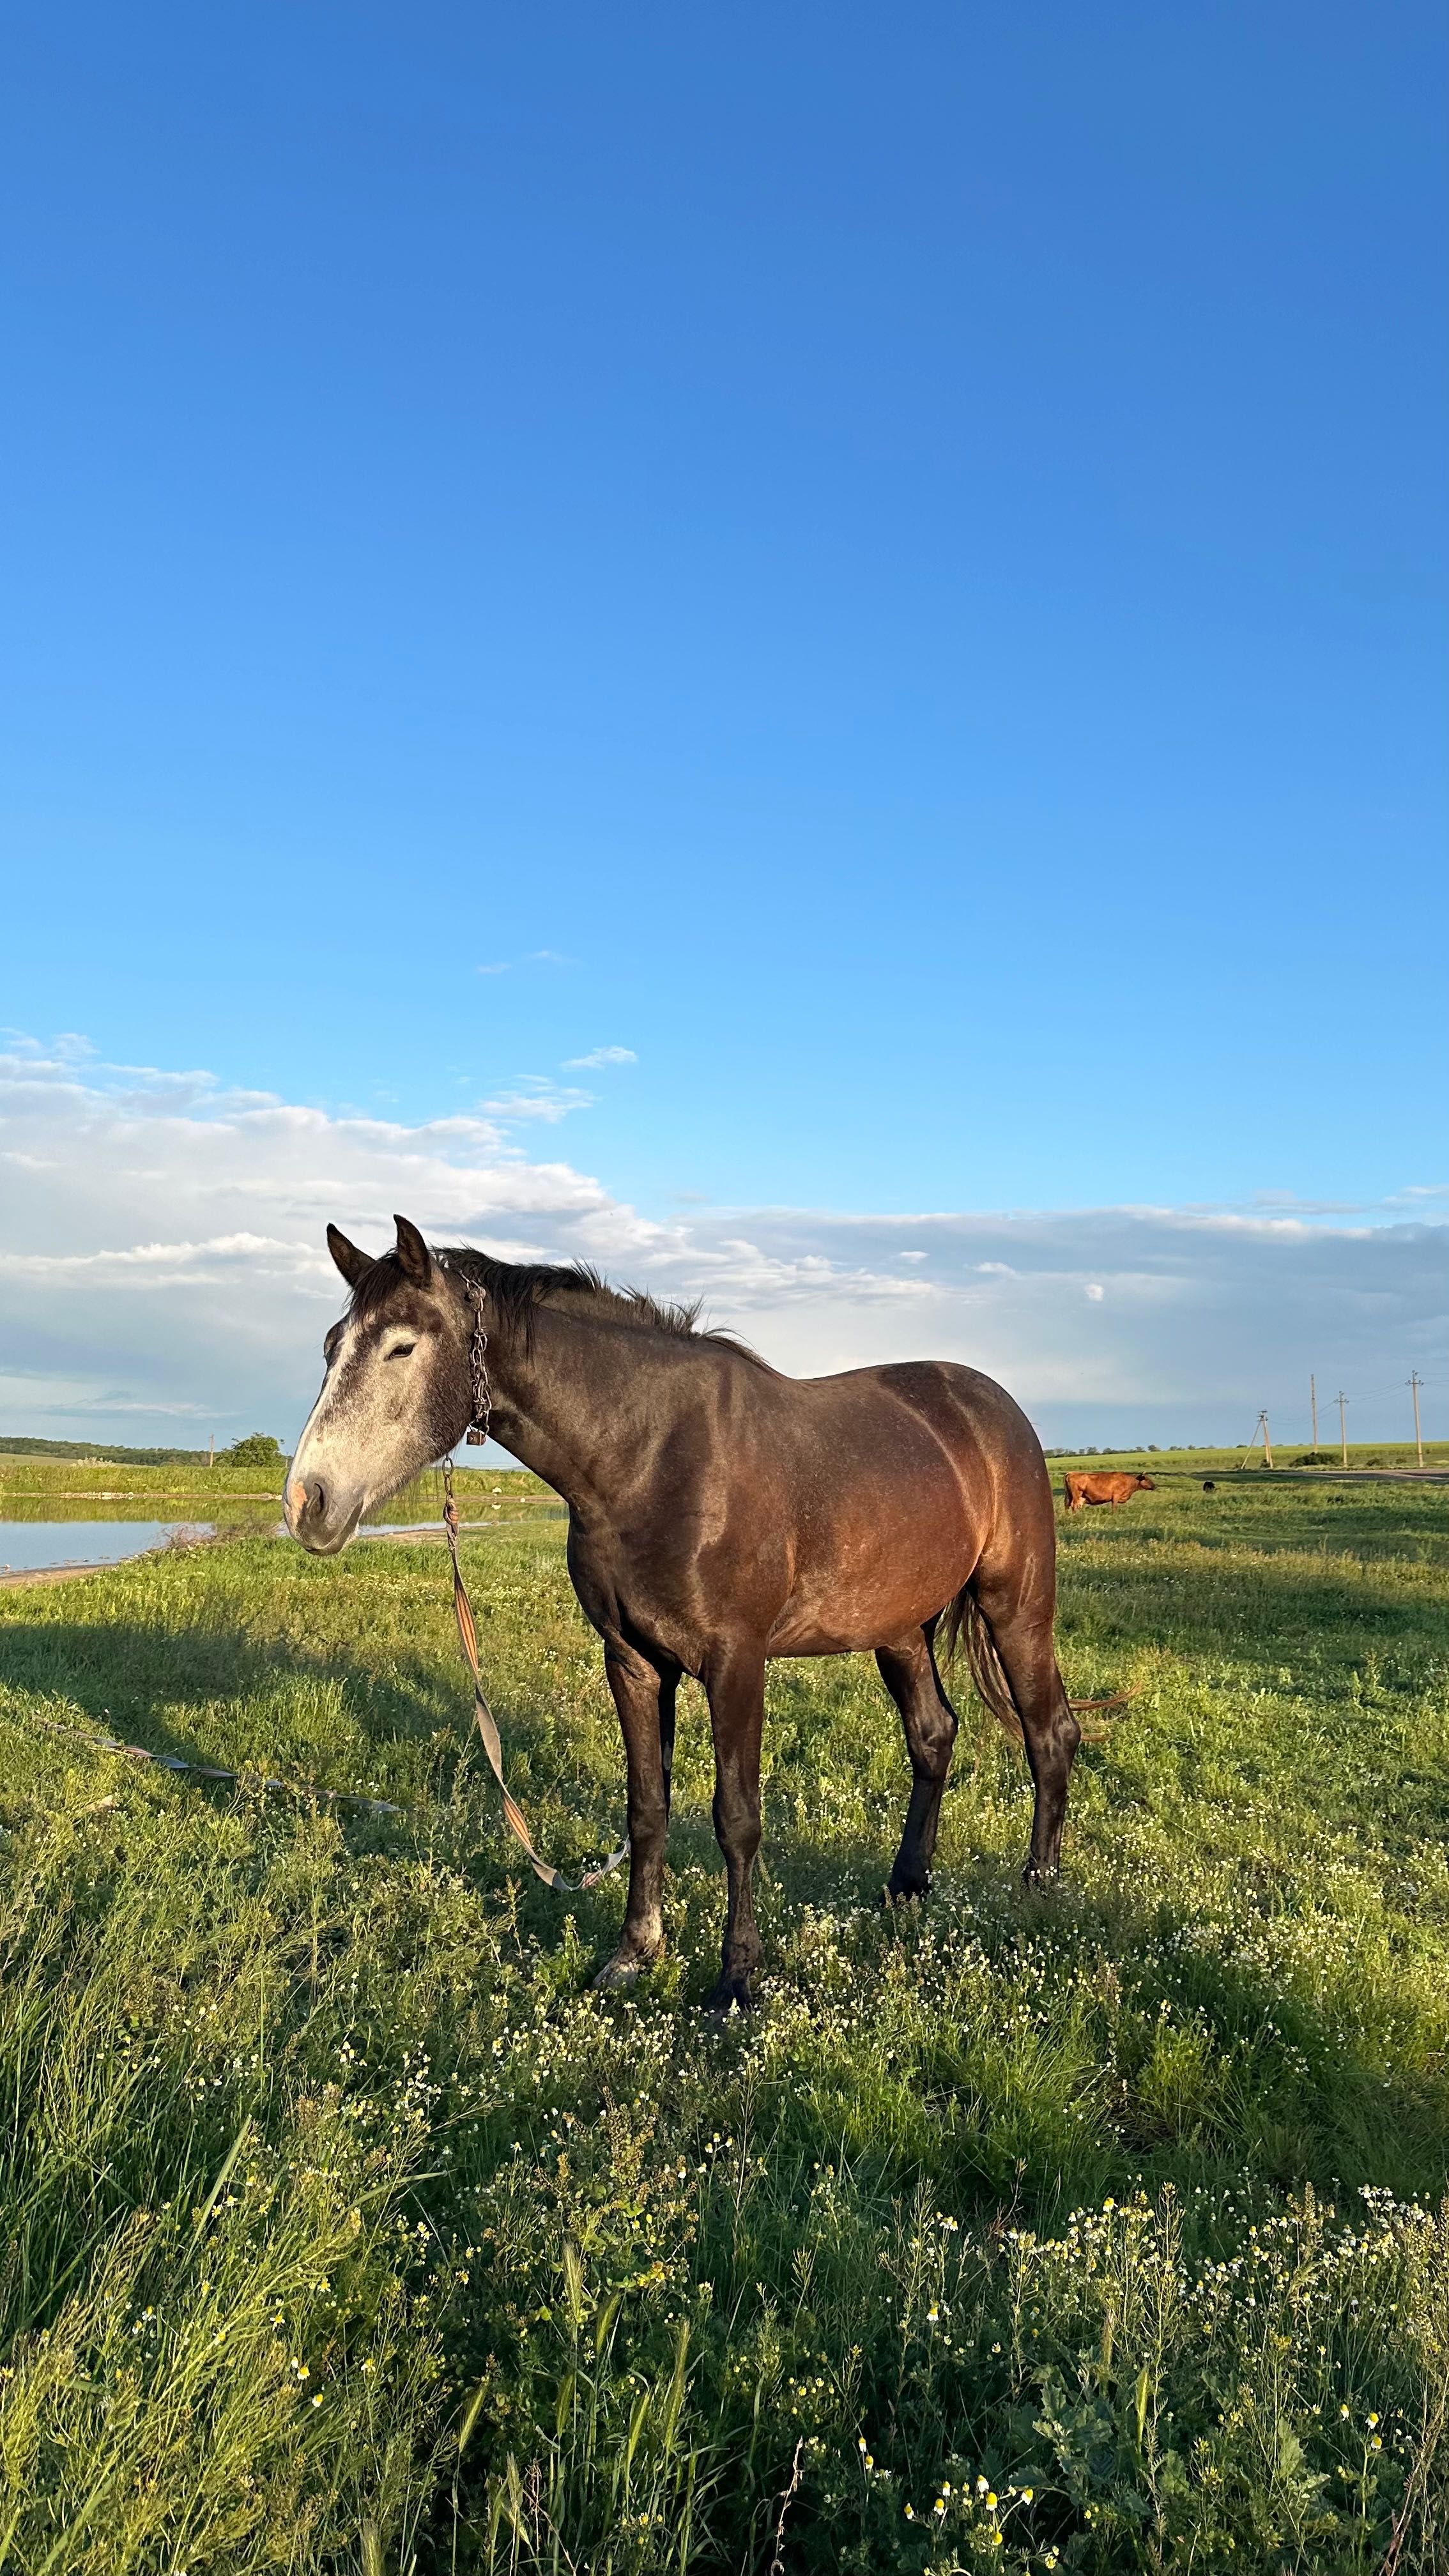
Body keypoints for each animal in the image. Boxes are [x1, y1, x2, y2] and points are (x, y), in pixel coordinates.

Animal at [284, 1216, 1072, 1998]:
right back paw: (907, 1885)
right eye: (330, 1347)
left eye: (403, 1346)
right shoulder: (634, 1662)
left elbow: (738, 1818)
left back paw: (1038, 1886)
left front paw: (736, 1979)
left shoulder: (737, 1663)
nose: (307, 1503)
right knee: (933, 1736)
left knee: (1049, 1733)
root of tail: (992, 1407)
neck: (652, 1459)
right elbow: (647, 1808)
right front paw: (635, 1951)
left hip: (1017, 1609)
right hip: (899, 1628)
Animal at [1057, 1473, 1154, 1504]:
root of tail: (1071, 1473)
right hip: (1076, 1496)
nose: (1155, 1486)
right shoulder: (1116, 1497)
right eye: (1148, 1479)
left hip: (1069, 1496)